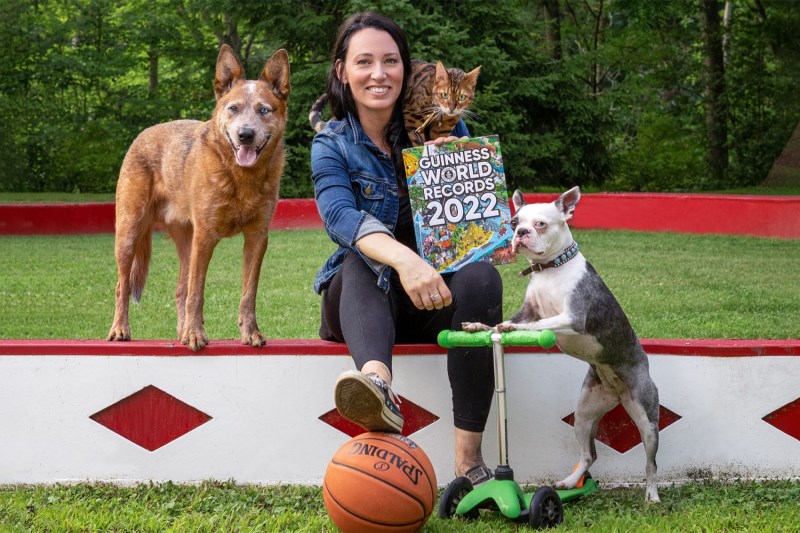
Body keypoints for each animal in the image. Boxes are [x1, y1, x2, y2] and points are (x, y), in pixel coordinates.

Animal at [108, 44, 290, 350]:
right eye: (233, 108)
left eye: (264, 110)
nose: (245, 135)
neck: (241, 178)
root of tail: (142, 135)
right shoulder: (205, 237)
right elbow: (198, 292)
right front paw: (195, 334)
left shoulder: (257, 238)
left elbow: (248, 293)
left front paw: (250, 332)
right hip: (129, 234)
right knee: (123, 285)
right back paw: (121, 329)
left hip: (185, 241)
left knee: (180, 289)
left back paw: (180, 332)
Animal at [310, 60, 478, 145]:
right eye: (444, 95)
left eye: (461, 98)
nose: (451, 108)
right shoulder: (412, 118)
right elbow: (418, 142)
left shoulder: (443, 129)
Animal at [466, 187, 660, 502]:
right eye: (515, 221)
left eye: (541, 224)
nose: (520, 232)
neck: (549, 269)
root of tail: (618, 390)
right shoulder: (528, 310)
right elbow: (499, 324)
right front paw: (478, 326)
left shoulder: (572, 318)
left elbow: (536, 325)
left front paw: (513, 329)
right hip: (583, 414)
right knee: (589, 454)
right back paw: (570, 482)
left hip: (646, 419)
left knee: (651, 463)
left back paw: (652, 495)